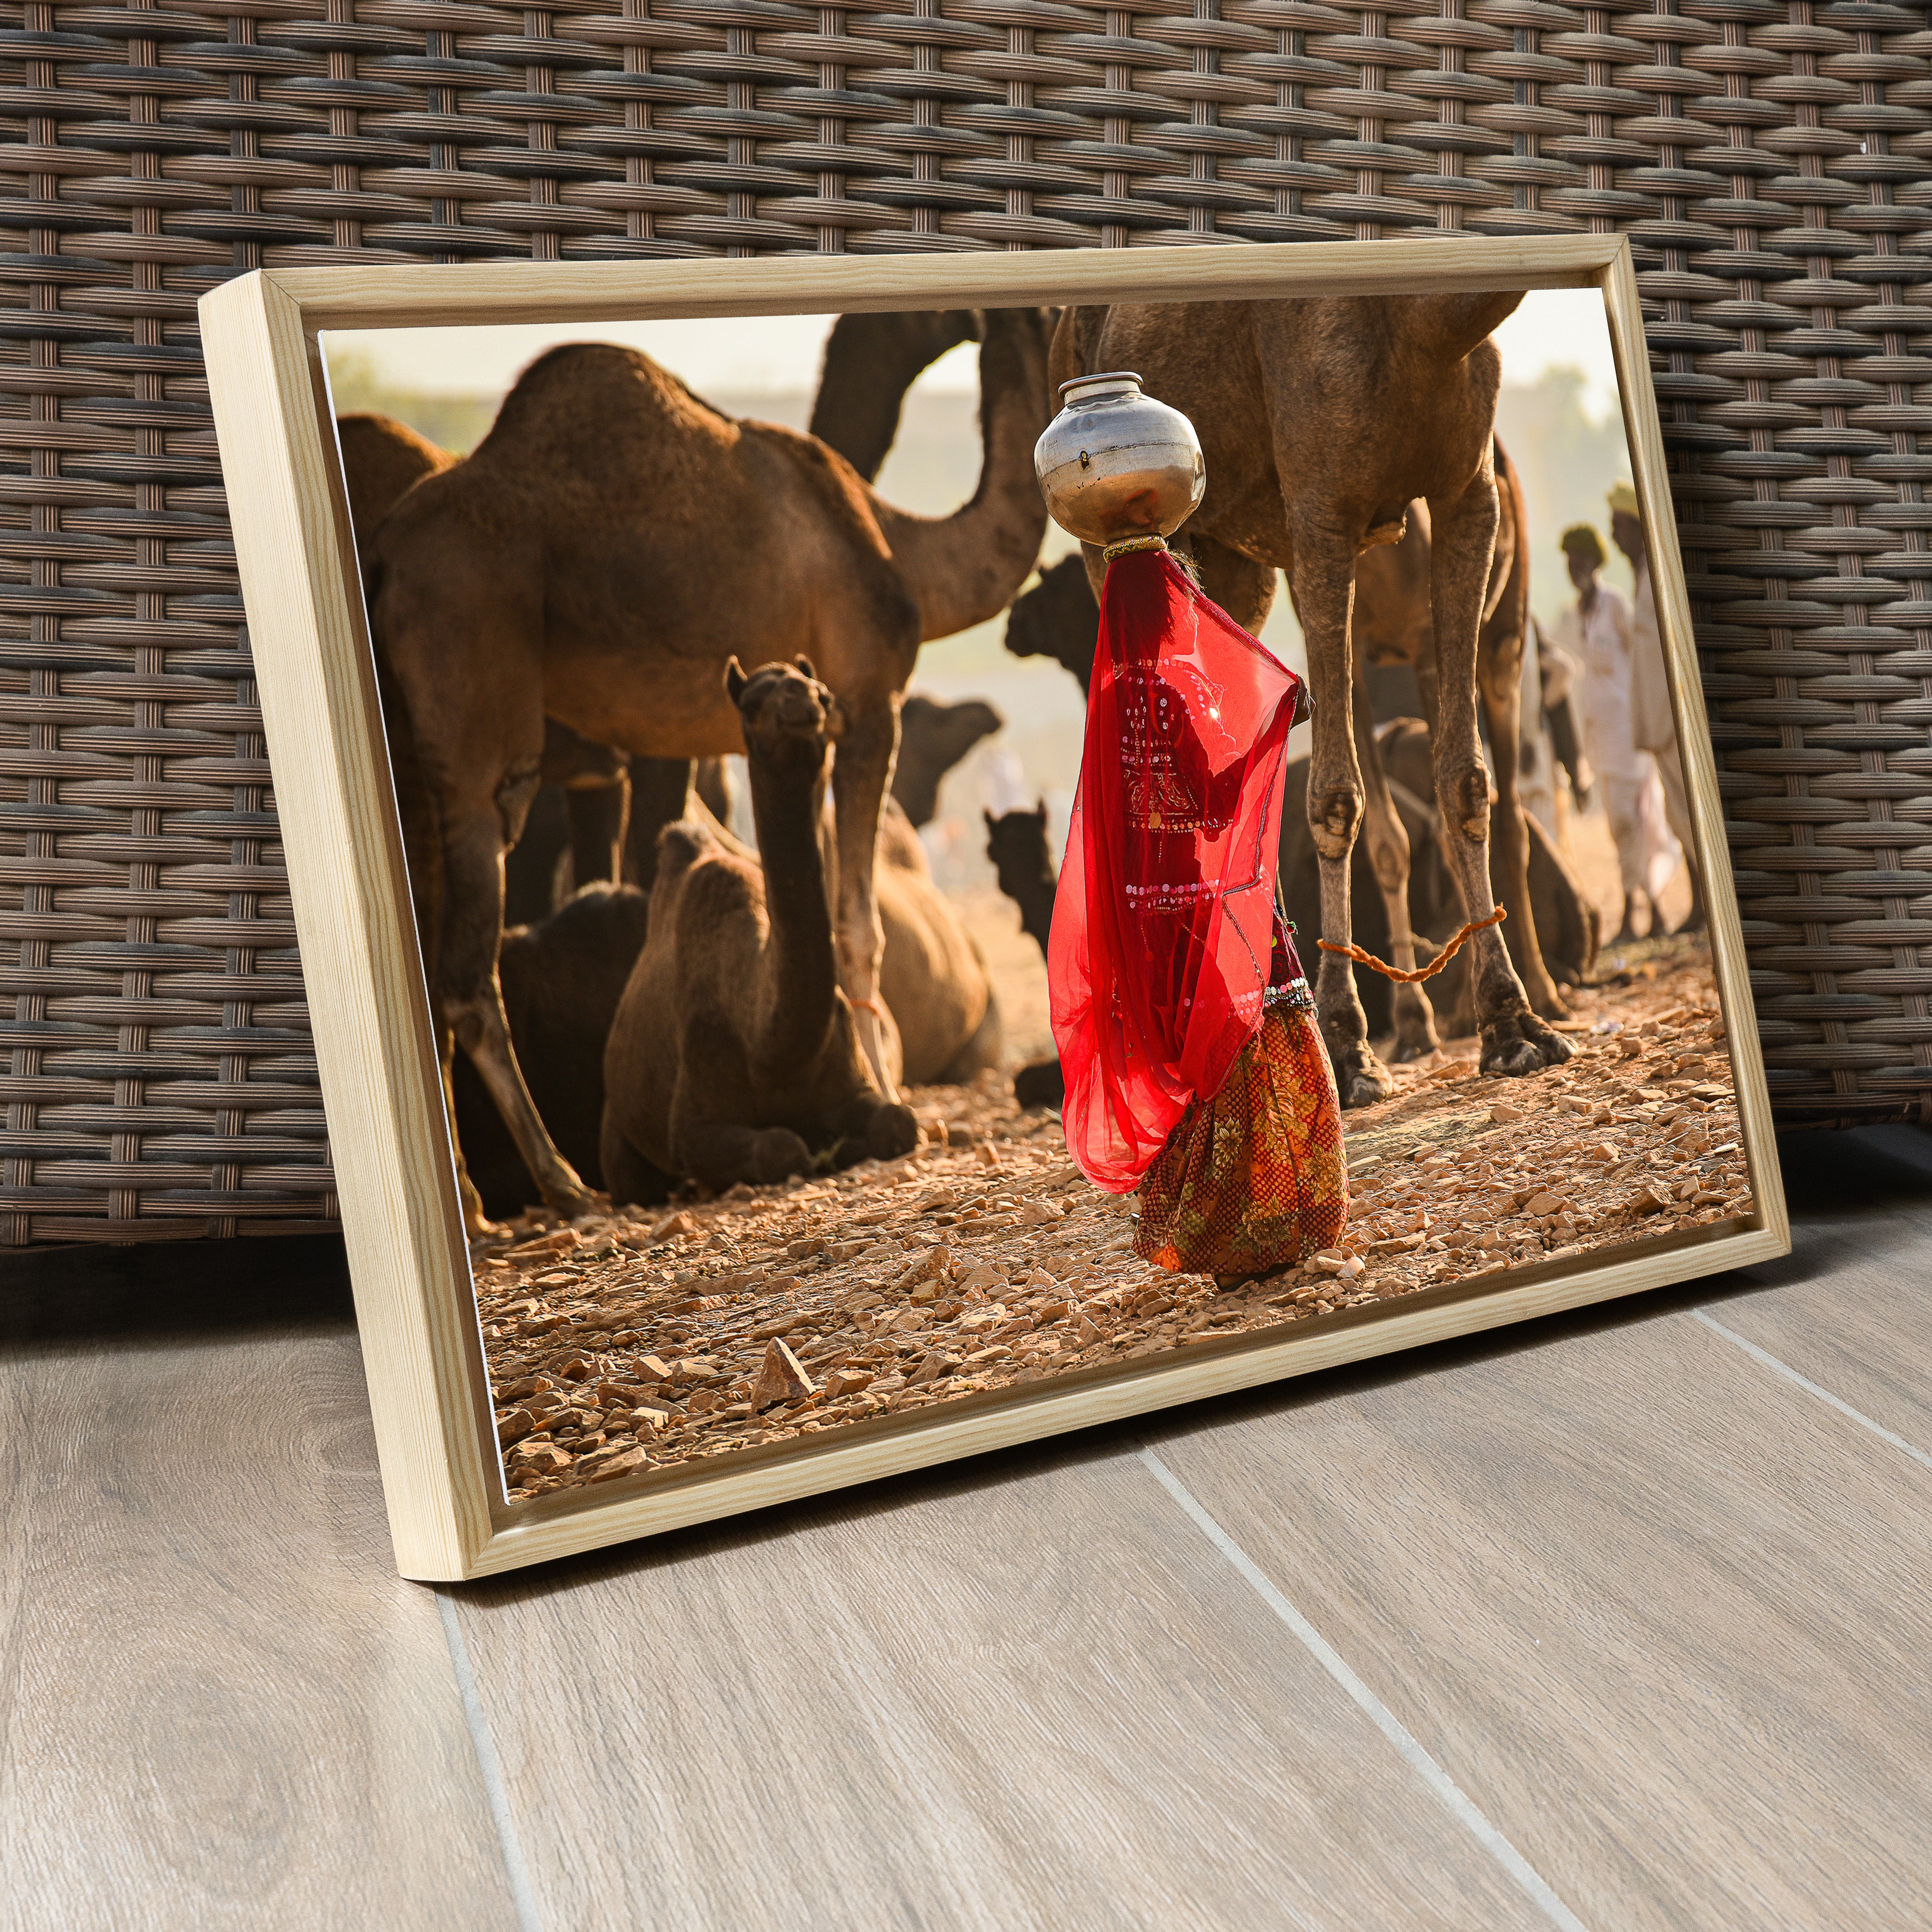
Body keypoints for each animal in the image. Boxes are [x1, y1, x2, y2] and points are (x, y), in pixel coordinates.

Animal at [601, 659, 919, 1197]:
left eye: (823, 695)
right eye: (750, 705)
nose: (803, 697)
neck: (769, 1044)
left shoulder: (851, 1083)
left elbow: (899, 1122)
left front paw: (843, 1143)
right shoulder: (694, 1121)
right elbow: (779, 1147)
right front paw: (815, 1148)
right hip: (618, 1131)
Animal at [1050, 302, 1573, 1106]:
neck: (1427, 329)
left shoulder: (1467, 492)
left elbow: (1463, 778)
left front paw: (1513, 1025)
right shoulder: (1322, 513)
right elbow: (1334, 797)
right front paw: (1350, 1049)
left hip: (1242, 568)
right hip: (1122, 546)